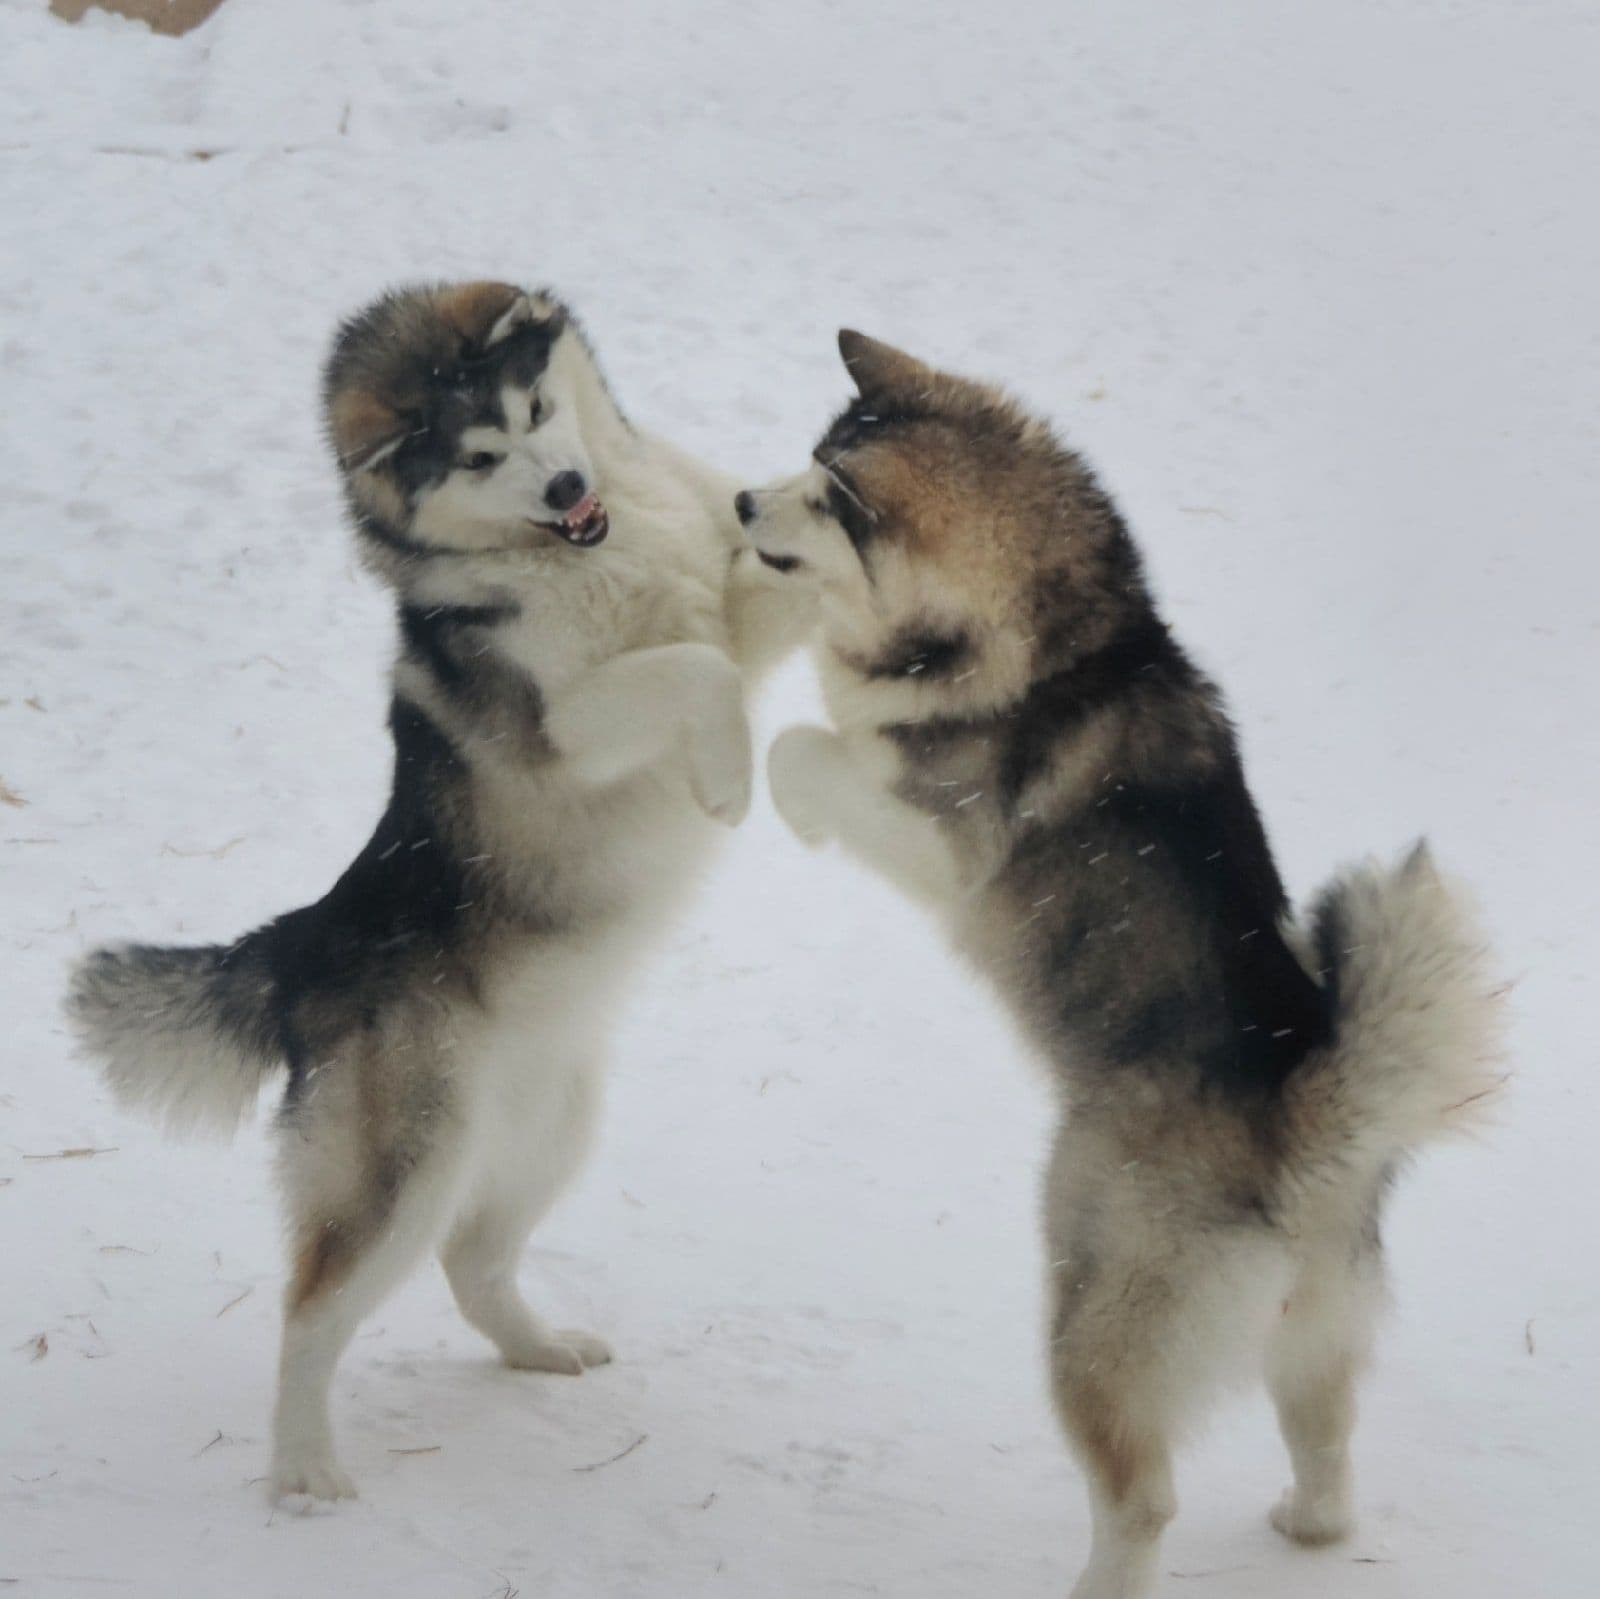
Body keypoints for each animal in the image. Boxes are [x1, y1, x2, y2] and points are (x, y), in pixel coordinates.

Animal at [67, 284, 806, 1498]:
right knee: (310, 1310)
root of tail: (302, 947)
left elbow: (747, 611)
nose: (565, 487)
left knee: (472, 1259)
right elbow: (694, 673)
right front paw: (728, 781)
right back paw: (306, 1475)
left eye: (538, 409)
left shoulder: (731, 596)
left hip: (548, 1124)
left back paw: (539, 1348)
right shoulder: (568, 728)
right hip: (403, 1168)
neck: (591, 547)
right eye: (479, 456)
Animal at [736, 331, 1497, 1594]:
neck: (1063, 636)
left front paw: (790, 793)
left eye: (829, 498)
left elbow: (806, 746)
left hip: (1092, 1303)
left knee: (1141, 1499)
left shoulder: (945, 847)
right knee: (1326, 1435)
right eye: (810, 459)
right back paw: (1309, 1523)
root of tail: (1300, 1136)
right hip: (1315, 1327)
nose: (743, 503)